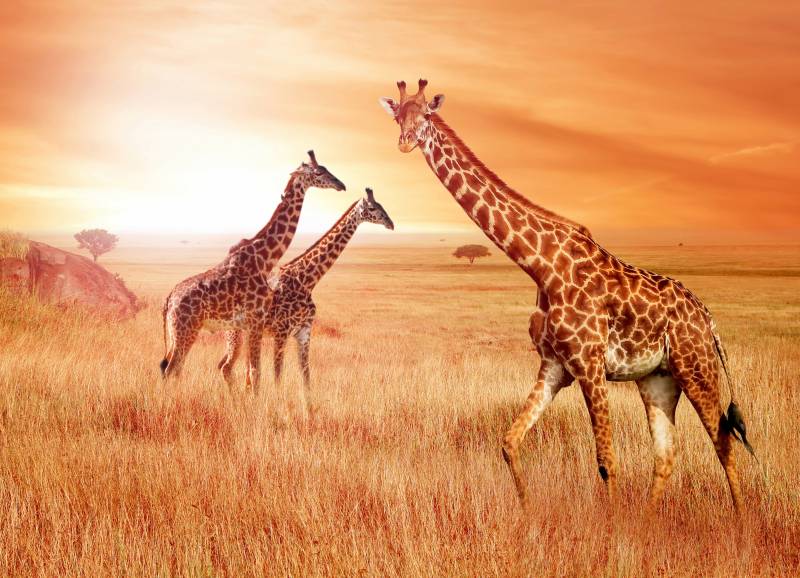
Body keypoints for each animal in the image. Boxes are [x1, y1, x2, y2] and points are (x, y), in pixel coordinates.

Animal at [160, 150, 346, 390]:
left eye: (325, 168)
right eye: (318, 172)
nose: (340, 184)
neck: (264, 258)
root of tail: (168, 301)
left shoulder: (252, 324)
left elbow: (253, 373)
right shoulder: (256, 319)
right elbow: (256, 373)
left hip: (179, 333)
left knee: (173, 368)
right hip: (186, 330)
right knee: (172, 369)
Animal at [217, 188, 394, 409]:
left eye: (381, 205)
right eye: (372, 208)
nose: (391, 223)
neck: (307, 280)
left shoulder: (304, 332)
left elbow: (306, 377)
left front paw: (308, 413)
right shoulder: (281, 332)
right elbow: (278, 376)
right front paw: (279, 410)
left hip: (249, 334)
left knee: (241, 369)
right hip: (235, 333)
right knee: (227, 367)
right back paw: (236, 405)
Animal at [379, 79, 753, 511]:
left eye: (425, 114)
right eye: (397, 115)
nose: (405, 142)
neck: (540, 264)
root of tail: (707, 316)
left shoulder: (589, 363)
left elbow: (607, 460)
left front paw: (614, 531)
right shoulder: (554, 366)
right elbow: (509, 442)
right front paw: (528, 516)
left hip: (696, 367)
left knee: (723, 444)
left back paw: (740, 525)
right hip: (658, 379)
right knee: (666, 454)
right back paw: (649, 521)